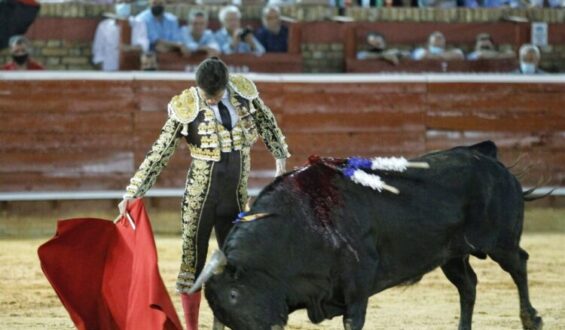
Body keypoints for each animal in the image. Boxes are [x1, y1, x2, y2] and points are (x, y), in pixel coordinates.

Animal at [198, 142, 540, 330]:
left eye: (234, 295)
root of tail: (487, 157)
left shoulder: (358, 280)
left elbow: (354, 320)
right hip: (451, 255)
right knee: (468, 286)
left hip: (500, 242)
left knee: (519, 264)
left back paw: (531, 319)